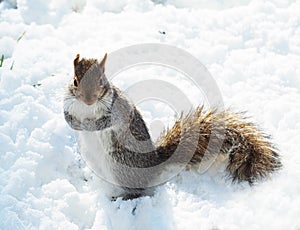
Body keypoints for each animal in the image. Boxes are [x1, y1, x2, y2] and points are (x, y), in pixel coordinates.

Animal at [62, 53, 282, 199]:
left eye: (101, 81)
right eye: (75, 81)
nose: (89, 100)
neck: (86, 109)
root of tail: (154, 164)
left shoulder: (118, 109)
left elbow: (107, 122)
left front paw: (89, 125)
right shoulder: (67, 103)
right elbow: (66, 115)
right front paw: (73, 123)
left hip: (120, 165)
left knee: (138, 191)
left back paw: (122, 197)